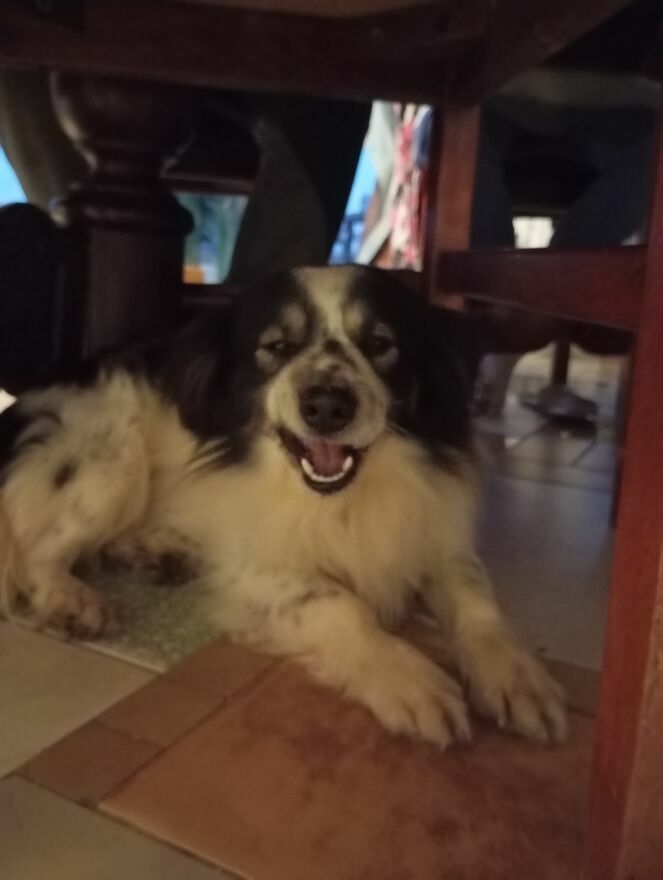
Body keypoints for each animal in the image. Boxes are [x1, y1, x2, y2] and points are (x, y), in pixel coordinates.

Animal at [0, 265, 567, 749]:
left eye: (380, 344)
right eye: (276, 346)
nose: (329, 405)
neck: (339, 501)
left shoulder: (434, 534)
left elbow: (477, 601)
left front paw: (518, 676)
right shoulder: (255, 566)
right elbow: (340, 604)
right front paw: (410, 679)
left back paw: (156, 550)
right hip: (112, 462)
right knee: (37, 554)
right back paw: (72, 598)